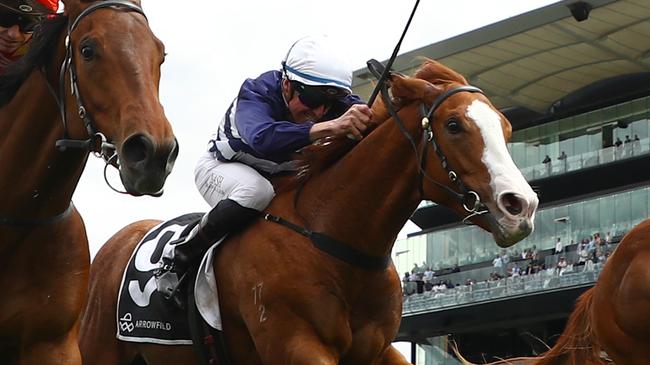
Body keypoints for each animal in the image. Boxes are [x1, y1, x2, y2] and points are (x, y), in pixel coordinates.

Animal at [79, 59, 536, 364]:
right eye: (454, 125)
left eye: (506, 128)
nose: (522, 206)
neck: (334, 240)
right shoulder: (297, 345)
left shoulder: (377, 350)